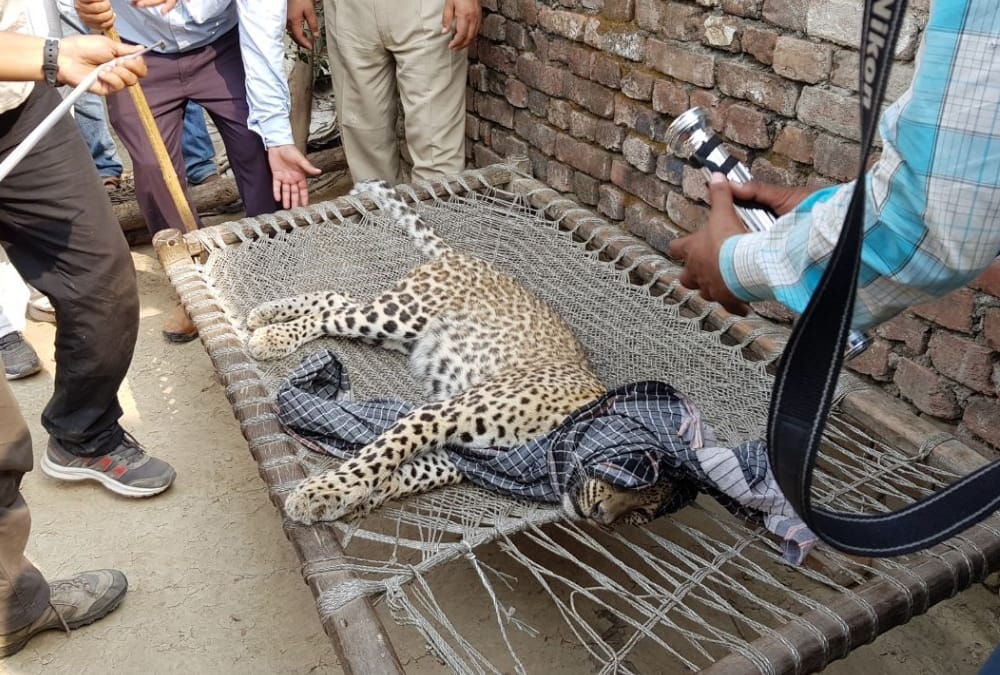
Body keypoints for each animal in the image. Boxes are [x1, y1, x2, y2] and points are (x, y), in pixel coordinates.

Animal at [246, 180, 679, 526]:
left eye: (640, 515)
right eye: (629, 469)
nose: (603, 518)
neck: (550, 450)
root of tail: (461, 255)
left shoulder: (463, 457)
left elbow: (405, 472)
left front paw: (356, 498)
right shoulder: (443, 413)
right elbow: (380, 453)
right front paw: (323, 492)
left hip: (396, 333)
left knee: (335, 299)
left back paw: (266, 315)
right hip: (400, 316)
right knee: (334, 312)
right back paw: (269, 334)